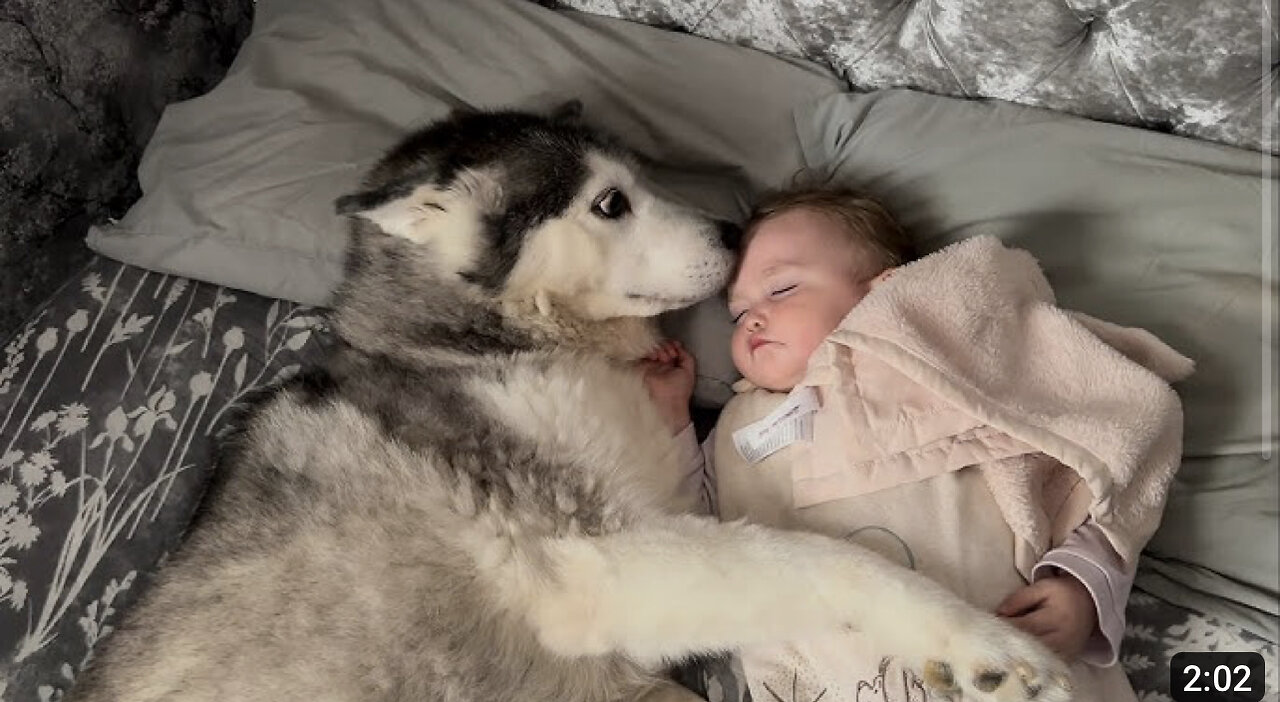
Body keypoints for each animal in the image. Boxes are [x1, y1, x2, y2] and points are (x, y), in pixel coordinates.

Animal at [67, 105, 1070, 702]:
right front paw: (977, 640)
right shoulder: (589, 566)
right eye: (611, 203)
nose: (733, 230)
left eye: (641, 177)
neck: (491, 344)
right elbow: (818, 559)